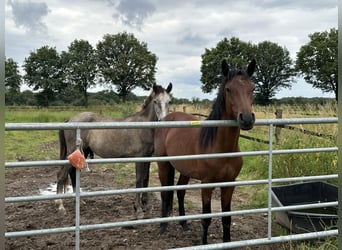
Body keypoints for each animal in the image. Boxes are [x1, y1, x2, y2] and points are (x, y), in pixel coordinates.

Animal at [57, 83, 174, 218]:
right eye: (155, 101)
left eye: (169, 101)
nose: (163, 122)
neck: (144, 127)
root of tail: (69, 120)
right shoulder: (139, 158)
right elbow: (139, 180)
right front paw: (138, 209)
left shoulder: (148, 157)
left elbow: (146, 179)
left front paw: (146, 206)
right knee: (61, 175)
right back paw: (60, 206)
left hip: (82, 153)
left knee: (72, 173)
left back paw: (80, 202)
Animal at [154, 59, 255, 244]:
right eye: (228, 89)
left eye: (252, 88)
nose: (246, 119)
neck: (222, 149)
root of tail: (166, 119)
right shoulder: (206, 185)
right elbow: (206, 218)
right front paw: (204, 243)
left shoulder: (229, 184)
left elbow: (226, 218)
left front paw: (226, 242)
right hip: (163, 165)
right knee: (165, 192)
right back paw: (163, 227)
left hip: (184, 169)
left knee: (180, 191)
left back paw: (184, 224)